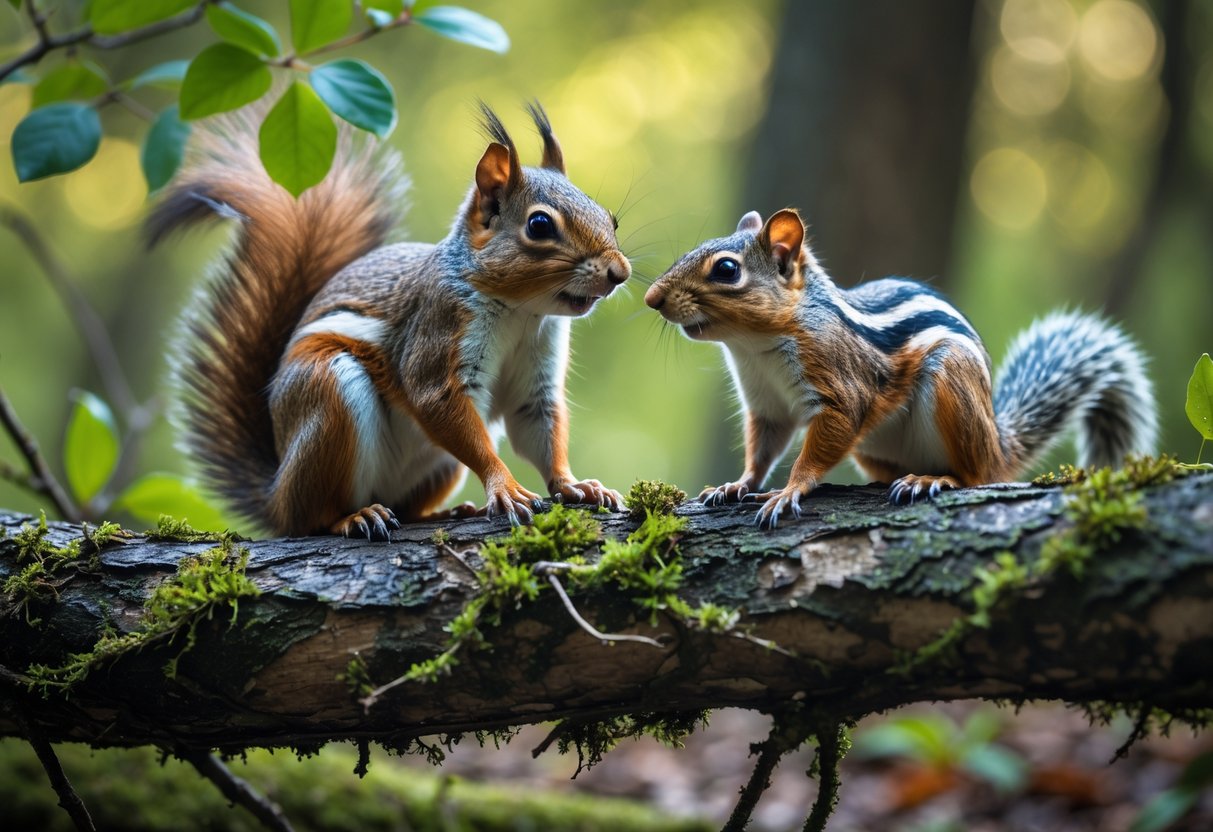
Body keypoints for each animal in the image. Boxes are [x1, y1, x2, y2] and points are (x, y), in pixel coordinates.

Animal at [149, 102, 631, 540]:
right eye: (539, 224)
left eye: (610, 218)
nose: (620, 273)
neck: (521, 312)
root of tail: (276, 496)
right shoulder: (437, 331)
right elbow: (437, 402)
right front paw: (505, 488)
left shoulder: (537, 374)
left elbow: (539, 427)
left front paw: (575, 486)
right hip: (327, 397)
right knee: (312, 518)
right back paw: (354, 517)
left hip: (436, 465)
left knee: (406, 506)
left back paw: (446, 512)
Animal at [644, 208, 1158, 529]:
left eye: (726, 270)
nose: (652, 298)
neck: (755, 347)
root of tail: (998, 442)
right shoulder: (767, 406)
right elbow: (762, 450)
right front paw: (737, 485)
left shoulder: (841, 387)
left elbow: (823, 440)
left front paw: (788, 491)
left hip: (953, 383)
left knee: (977, 475)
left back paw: (934, 479)